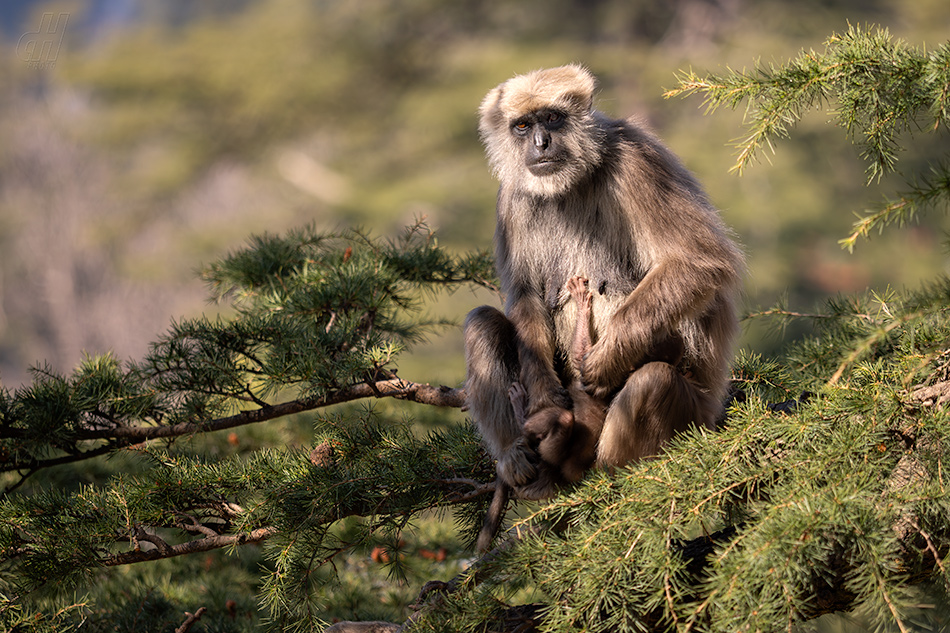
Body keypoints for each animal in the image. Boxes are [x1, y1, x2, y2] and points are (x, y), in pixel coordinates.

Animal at [464, 65, 748, 504]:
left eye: (553, 118)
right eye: (523, 126)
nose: (540, 143)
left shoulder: (636, 161)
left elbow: (697, 261)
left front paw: (605, 359)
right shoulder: (513, 196)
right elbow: (525, 294)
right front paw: (542, 397)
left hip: (695, 416)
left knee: (654, 379)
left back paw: (613, 478)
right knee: (482, 322)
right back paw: (521, 460)